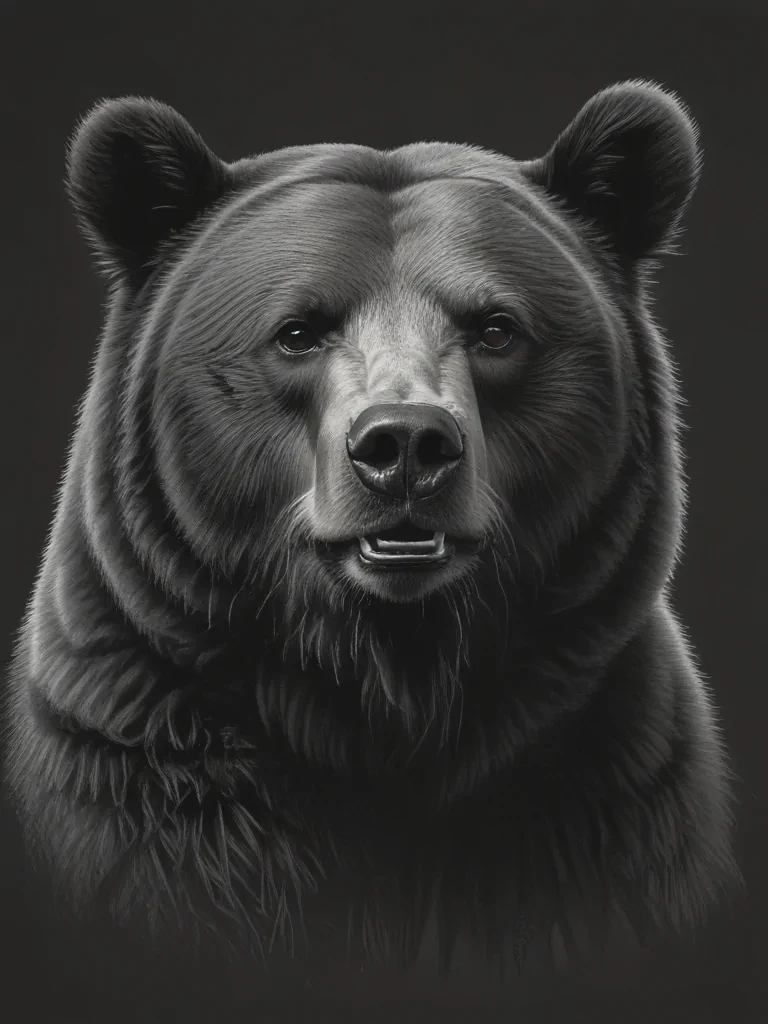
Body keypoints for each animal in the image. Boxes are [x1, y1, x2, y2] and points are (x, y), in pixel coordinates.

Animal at [2, 80, 740, 977]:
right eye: (297, 331)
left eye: (496, 327)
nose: (406, 445)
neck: (388, 694)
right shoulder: (149, 771)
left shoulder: (604, 799)